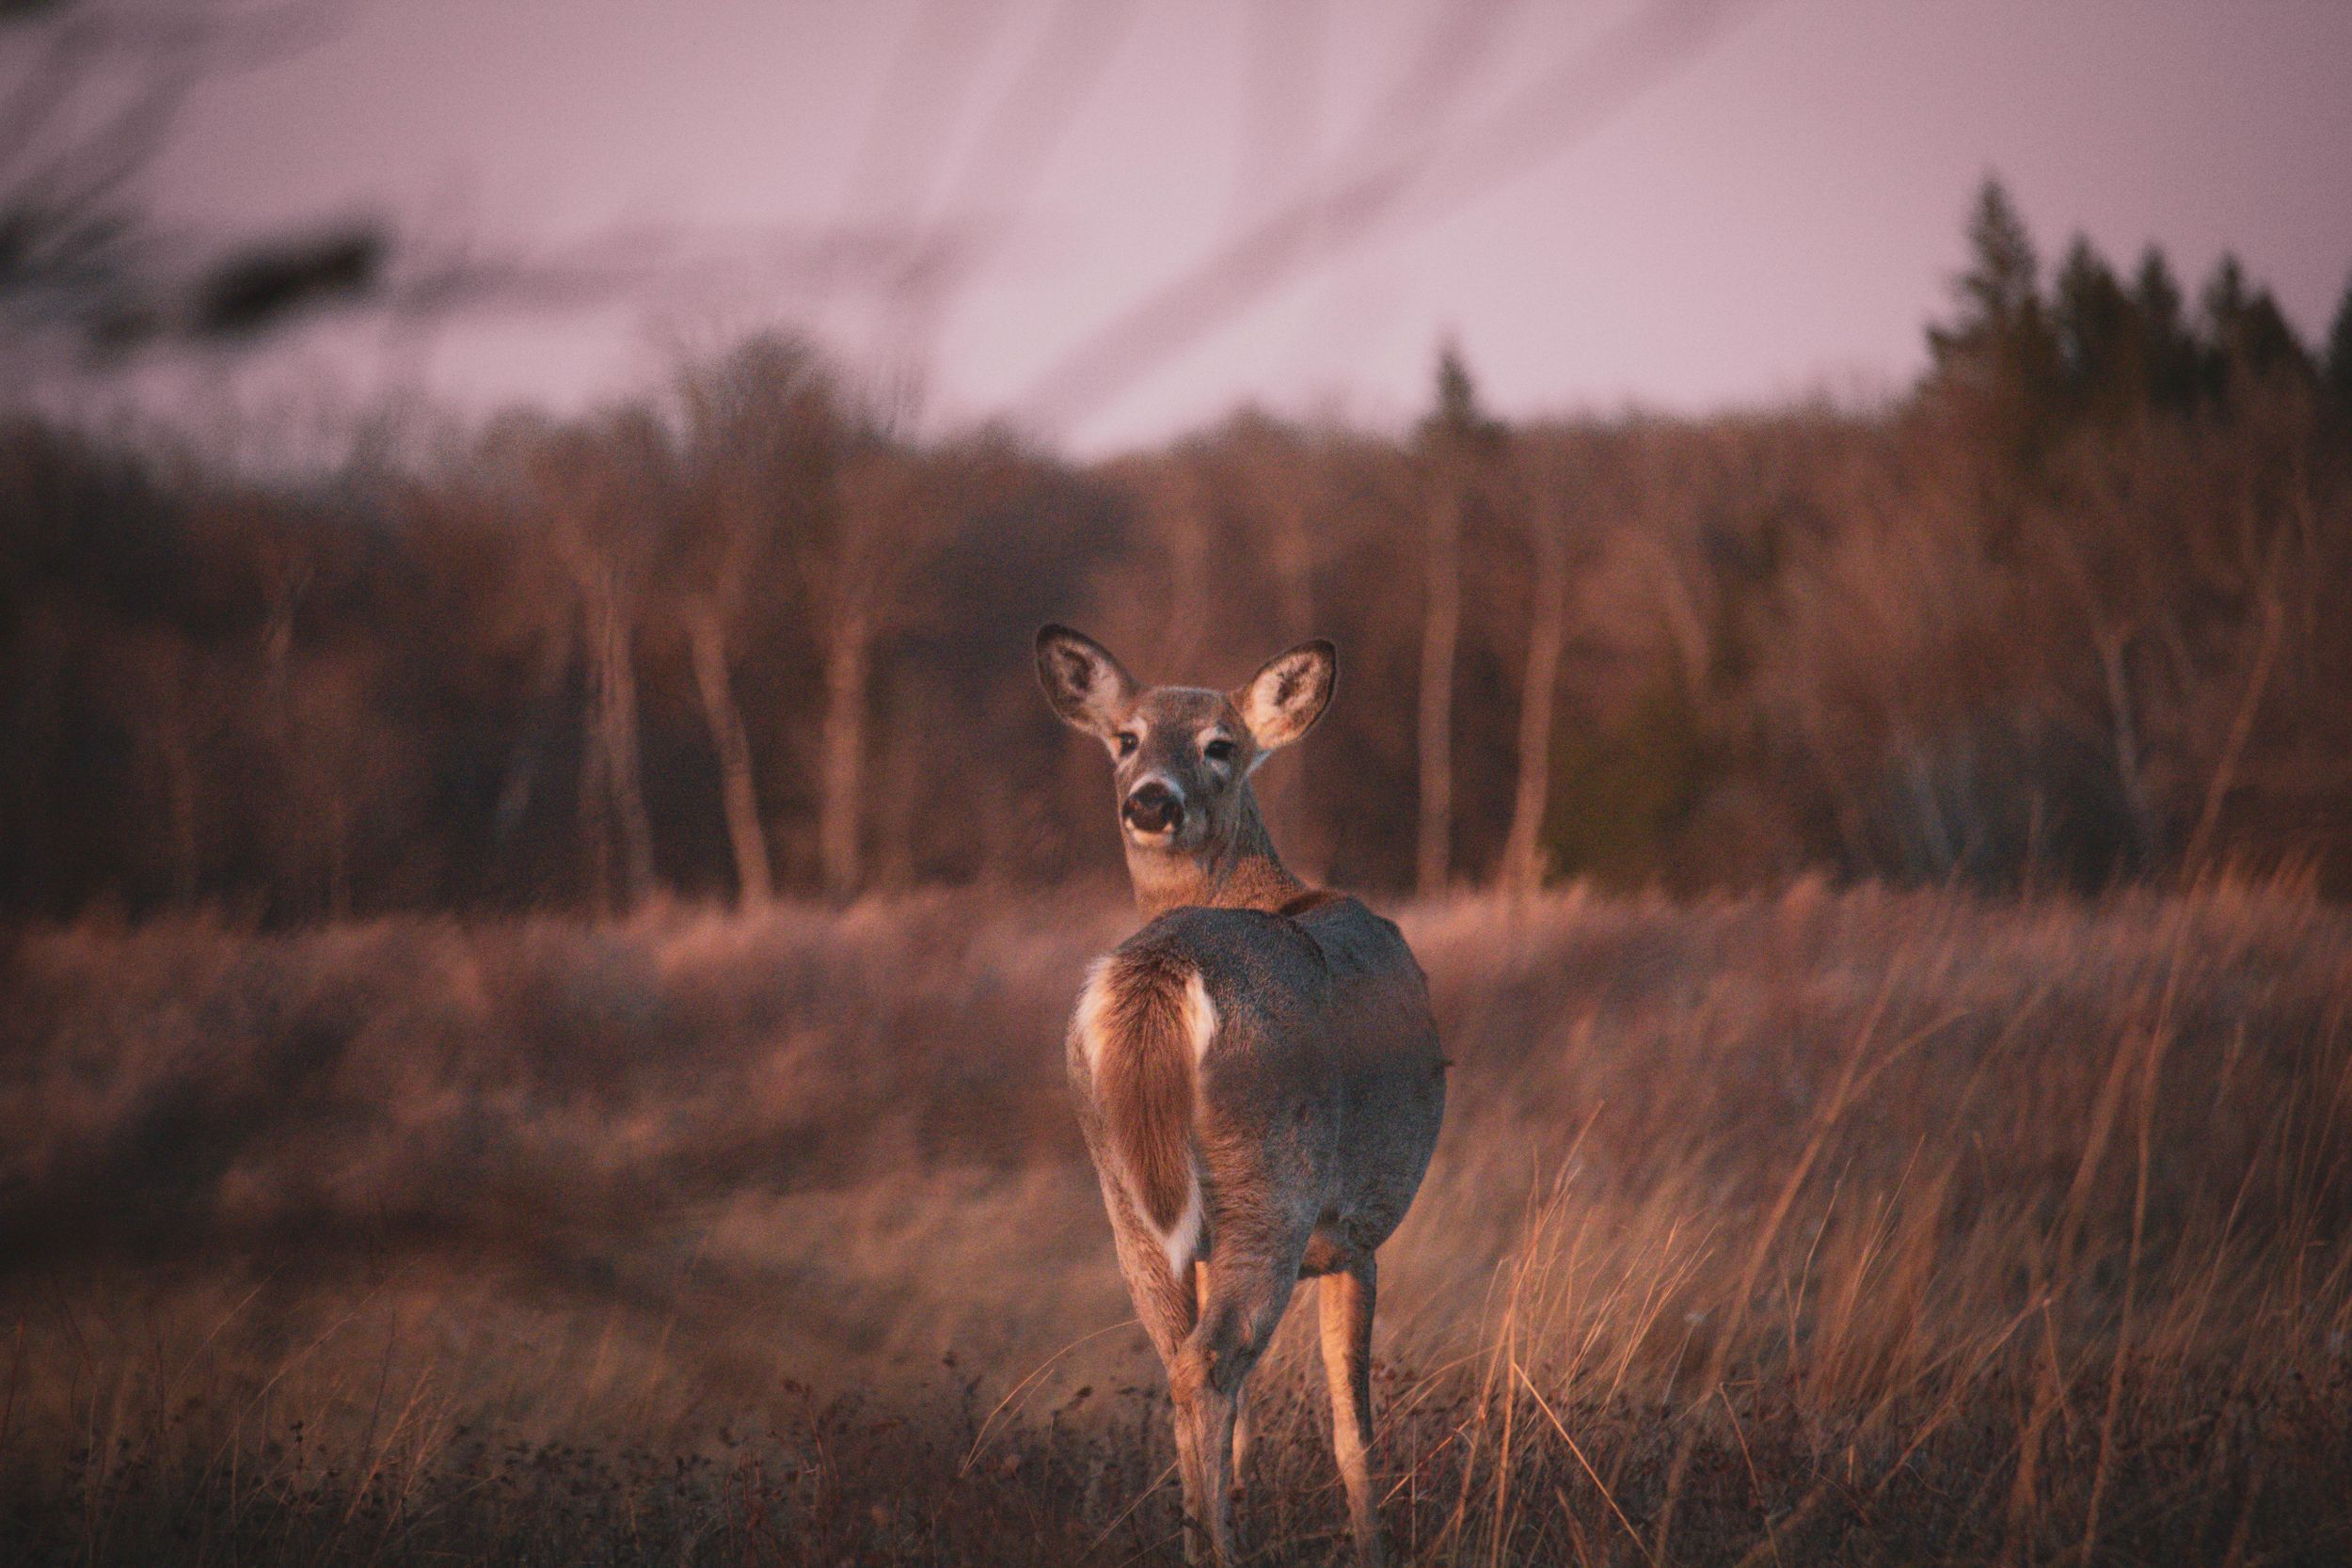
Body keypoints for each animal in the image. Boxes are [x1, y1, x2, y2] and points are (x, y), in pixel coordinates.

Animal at [1035, 625, 1447, 1566]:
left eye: (1219, 744)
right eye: (1126, 738)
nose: (1151, 801)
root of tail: (1164, 964)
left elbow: (1252, 1429)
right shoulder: (1357, 1229)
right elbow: (1352, 1428)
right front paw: (1373, 1545)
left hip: (1126, 1192)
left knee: (1179, 1360)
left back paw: (1204, 1537)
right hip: (1274, 1183)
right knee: (1210, 1361)